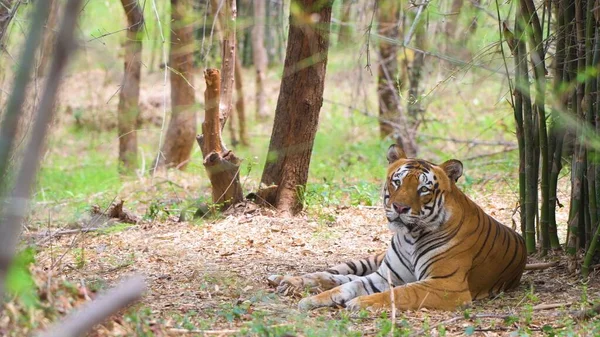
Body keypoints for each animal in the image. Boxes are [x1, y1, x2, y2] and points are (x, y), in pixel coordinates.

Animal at [268, 144, 524, 310]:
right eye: (397, 182)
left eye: (423, 189)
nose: (400, 207)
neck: (410, 236)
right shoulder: (384, 275)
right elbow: (348, 285)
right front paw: (312, 300)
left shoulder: (447, 285)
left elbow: (400, 292)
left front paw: (359, 303)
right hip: (369, 260)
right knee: (331, 274)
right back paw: (285, 280)